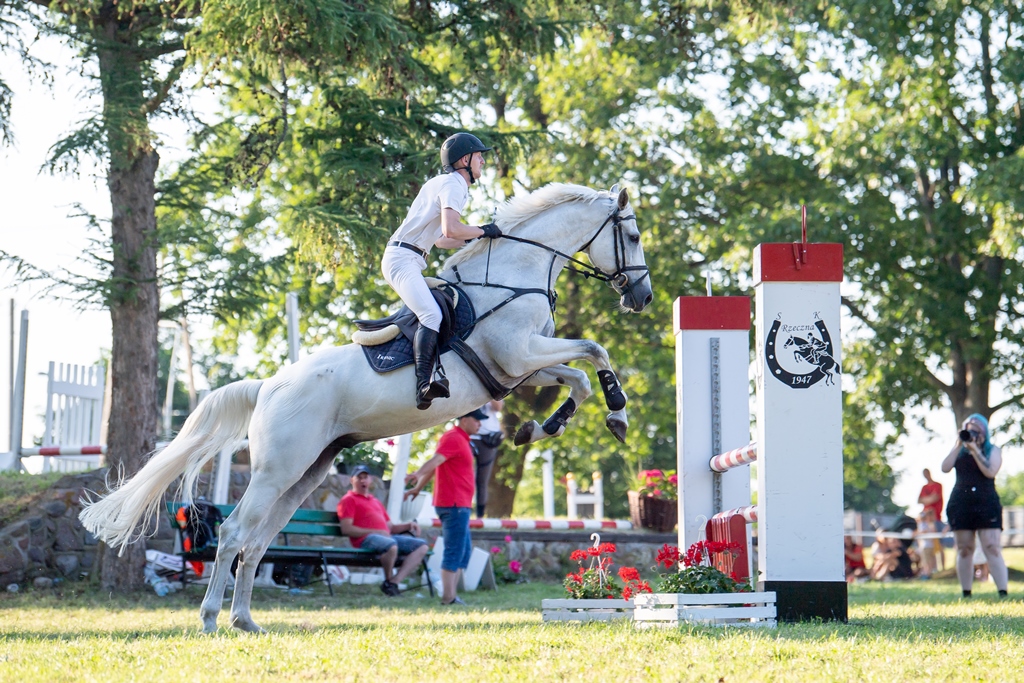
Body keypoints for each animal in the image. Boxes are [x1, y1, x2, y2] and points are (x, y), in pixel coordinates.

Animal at [79, 182, 652, 633]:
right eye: (632, 236)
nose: (642, 298)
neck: (514, 275)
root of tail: (268, 386)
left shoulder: (522, 368)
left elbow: (579, 375)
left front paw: (548, 425)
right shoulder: (520, 355)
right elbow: (594, 351)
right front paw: (616, 410)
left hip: (305, 474)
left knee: (259, 541)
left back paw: (245, 620)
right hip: (277, 469)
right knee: (235, 533)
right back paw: (210, 619)